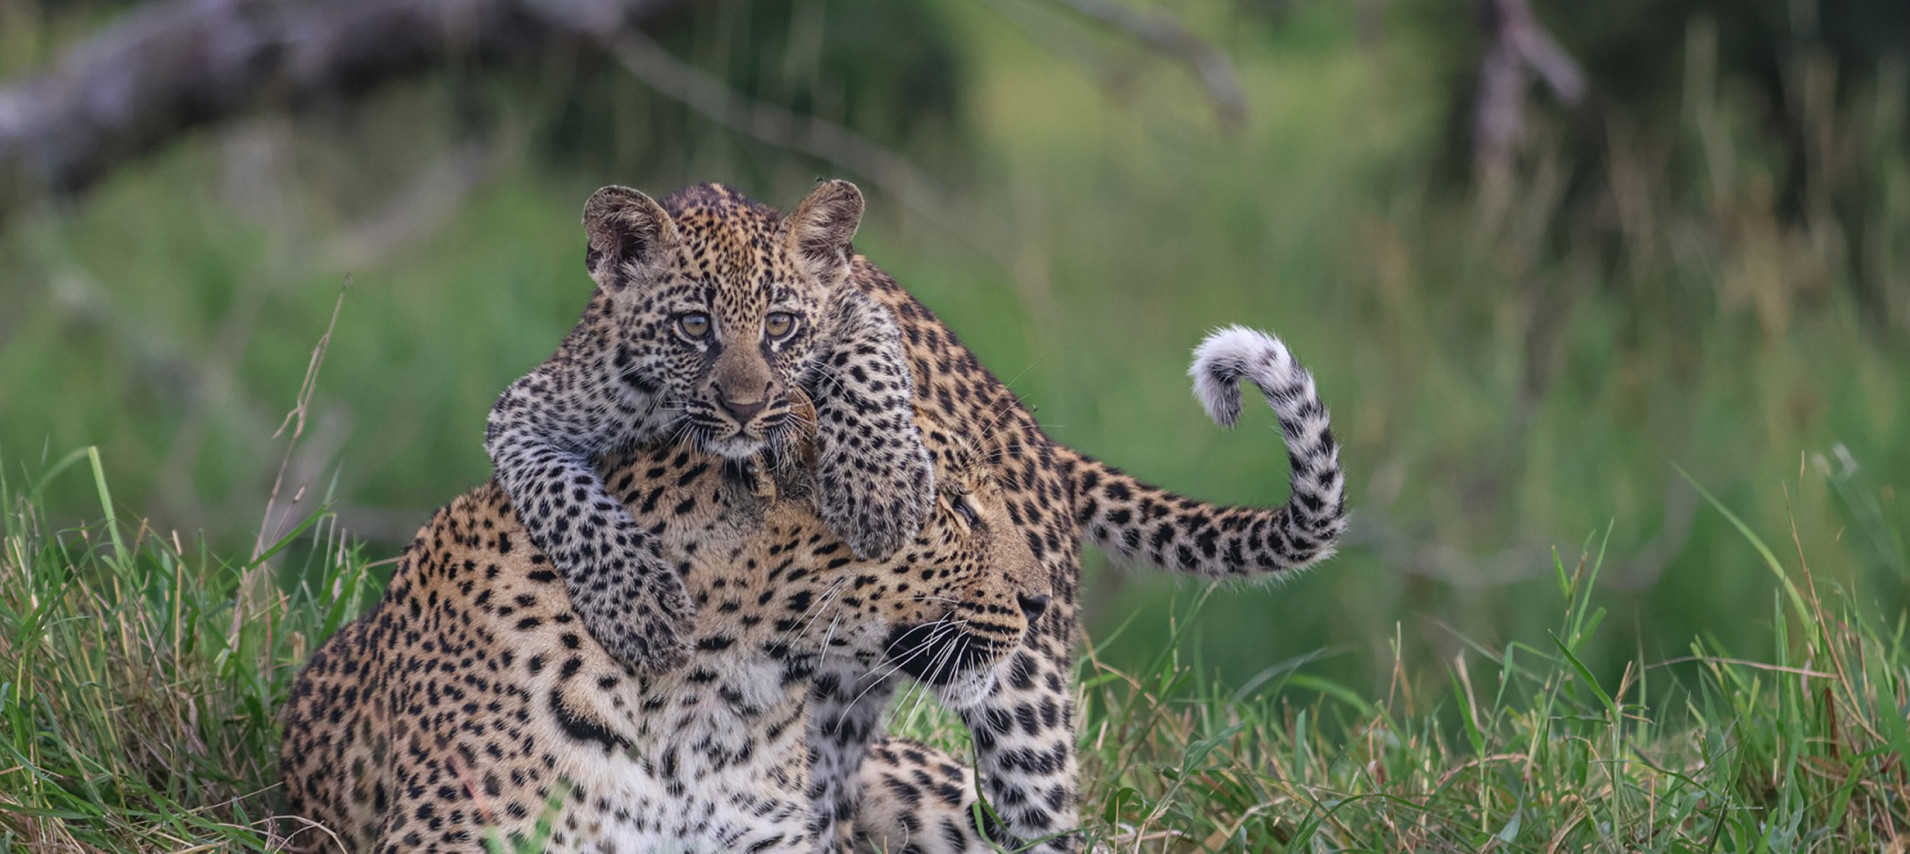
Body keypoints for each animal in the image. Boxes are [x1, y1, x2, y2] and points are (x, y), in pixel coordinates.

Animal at [483, 180, 935, 678]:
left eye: (780, 323)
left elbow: (867, 362)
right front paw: (642, 607)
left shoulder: (855, 309)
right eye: (695, 324)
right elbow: (565, 501)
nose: (744, 407)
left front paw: (880, 492)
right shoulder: (520, 412)